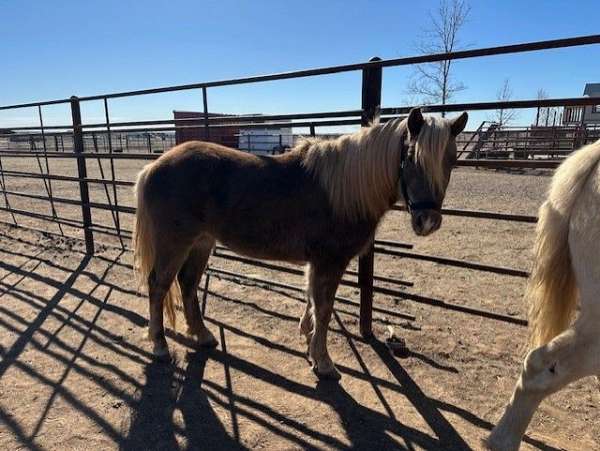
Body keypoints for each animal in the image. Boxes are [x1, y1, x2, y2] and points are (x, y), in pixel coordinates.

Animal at [134, 109, 466, 382]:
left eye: (452, 160)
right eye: (410, 157)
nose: (427, 221)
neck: (345, 191)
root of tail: (153, 167)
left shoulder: (317, 262)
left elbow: (312, 300)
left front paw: (308, 338)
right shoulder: (329, 262)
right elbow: (325, 308)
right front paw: (324, 363)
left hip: (201, 243)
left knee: (188, 284)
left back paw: (202, 335)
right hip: (174, 243)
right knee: (158, 285)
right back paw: (160, 345)